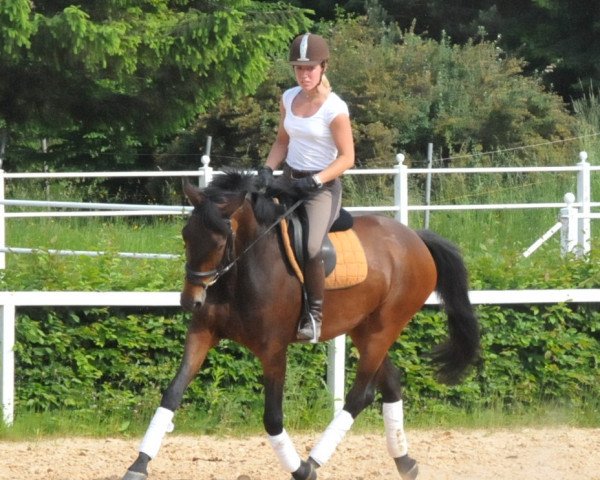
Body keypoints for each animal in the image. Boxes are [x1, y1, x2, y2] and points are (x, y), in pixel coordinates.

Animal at [120, 172, 478, 480]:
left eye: (221, 242)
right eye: (186, 236)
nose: (190, 300)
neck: (241, 270)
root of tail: (415, 237)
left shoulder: (274, 350)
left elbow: (272, 418)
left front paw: (300, 470)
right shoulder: (202, 333)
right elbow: (172, 394)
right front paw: (138, 465)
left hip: (384, 327)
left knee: (360, 395)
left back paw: (314, 461)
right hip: (364, 329)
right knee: (390, 383)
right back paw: (405, 463)